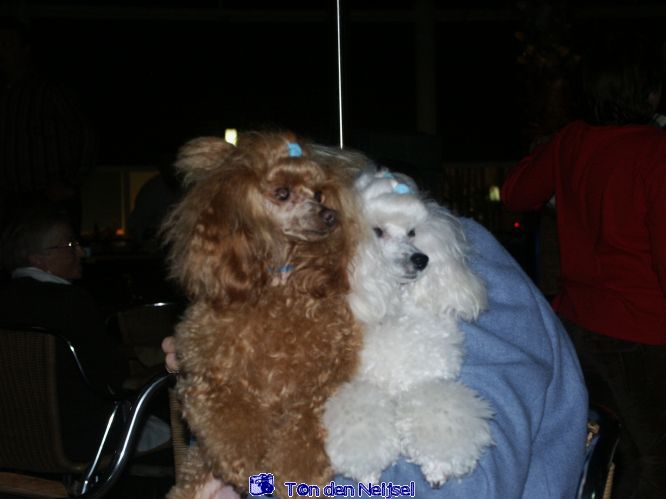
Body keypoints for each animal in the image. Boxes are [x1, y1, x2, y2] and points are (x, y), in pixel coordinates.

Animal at [162, 132, 362, 499]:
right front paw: (249, 466)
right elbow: (231, 422)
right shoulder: (206, 378)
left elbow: (305, 426)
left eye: (318, 194)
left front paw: (296, 475)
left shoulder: (321, 382)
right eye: (281, 193)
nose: (330, 216)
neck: (278, 290)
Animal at [323, 169, 493, 486]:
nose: (421, 259)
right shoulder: (358, 384)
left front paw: (439, 462)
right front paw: (366, 468)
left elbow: (440, 408)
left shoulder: (425, 379)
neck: (394, 305)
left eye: (412, 232)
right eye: (378, 232)